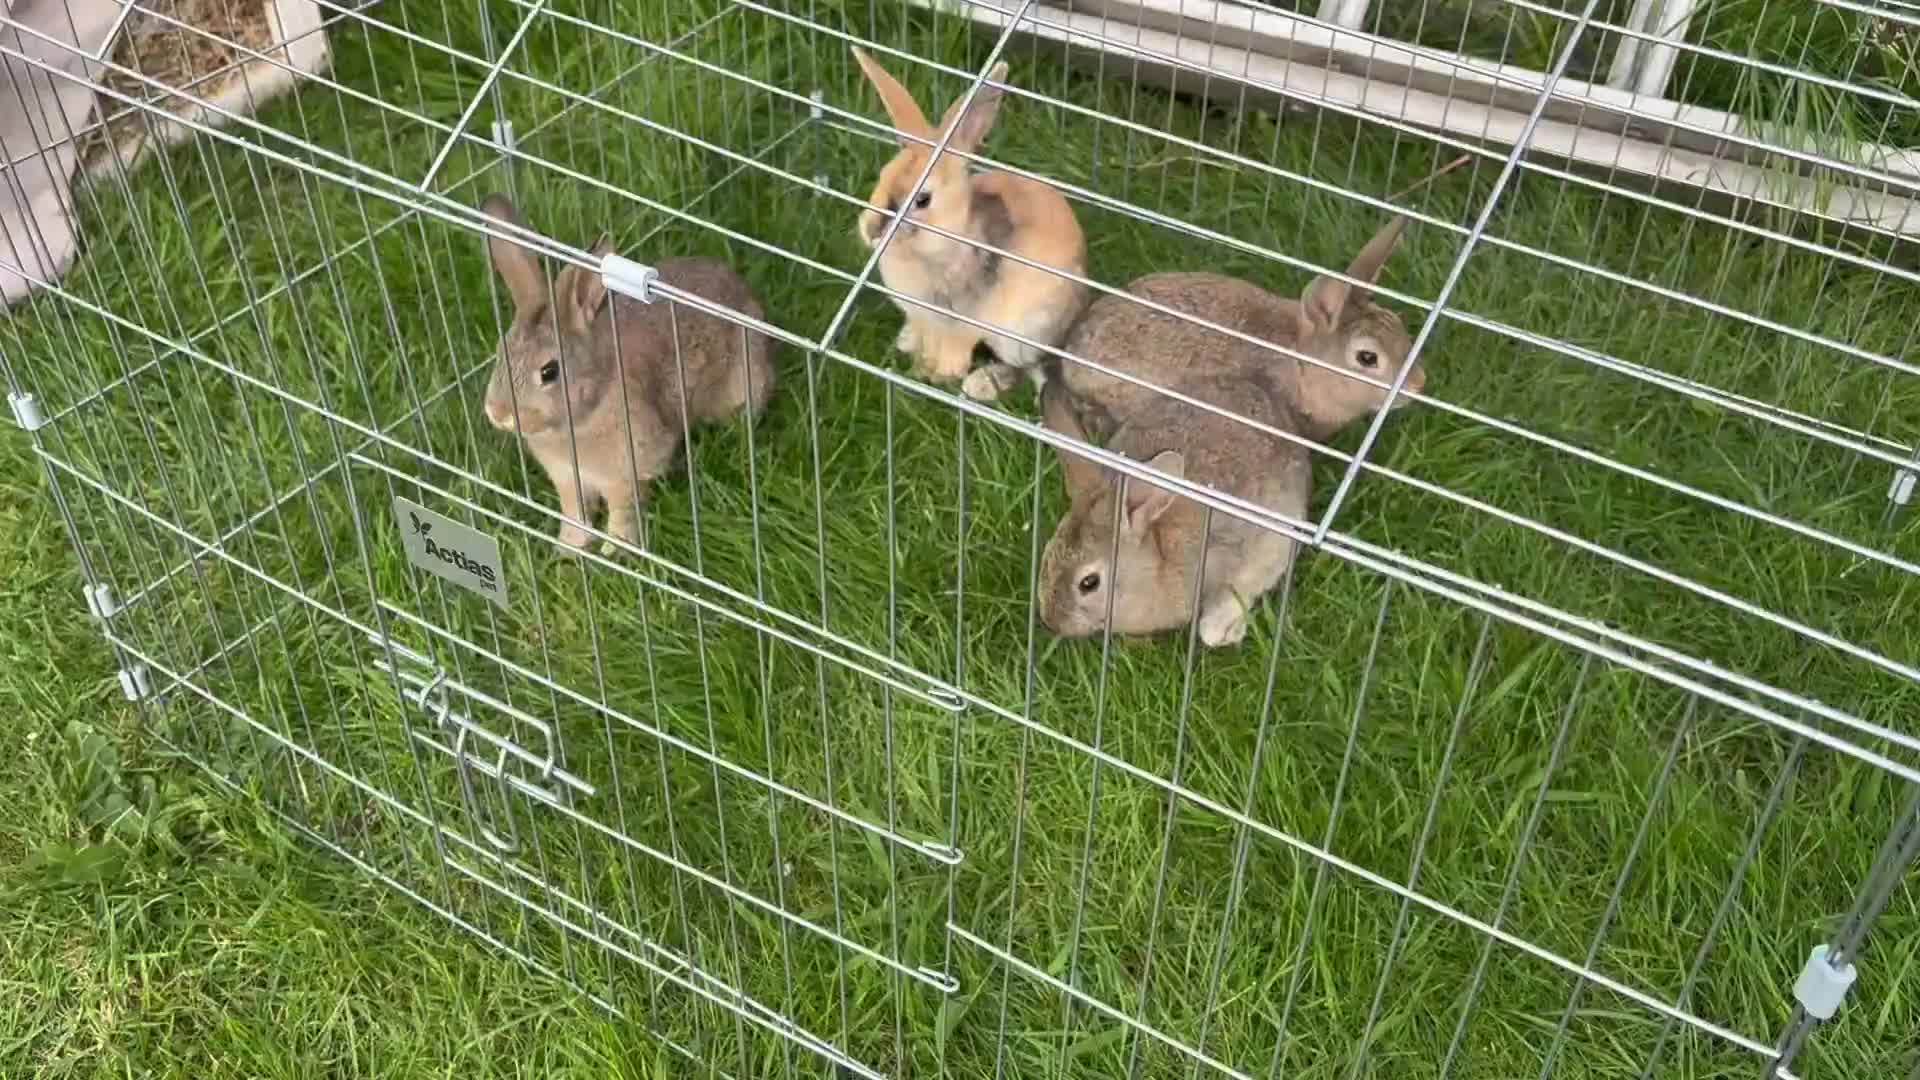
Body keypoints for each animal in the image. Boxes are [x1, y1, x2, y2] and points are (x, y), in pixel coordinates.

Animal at [478, 193, 777, 555]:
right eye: (500, 351)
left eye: (549, 372)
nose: (497, 412)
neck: (585, 412)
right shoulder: (568, 479)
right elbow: (575, 513)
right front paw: (568, 548)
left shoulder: (627, 473)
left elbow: (623, 513)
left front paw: (615, 551)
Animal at [851, 46, 1089, 403]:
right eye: (882, 176)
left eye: (923, 200)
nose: (870, 230)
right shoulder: (923, 317)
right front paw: (917, 361)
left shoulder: (964, 323)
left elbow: (954, 351)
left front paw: (938, 376)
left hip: (1023, 332)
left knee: (1032, 368)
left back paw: (982, 384)